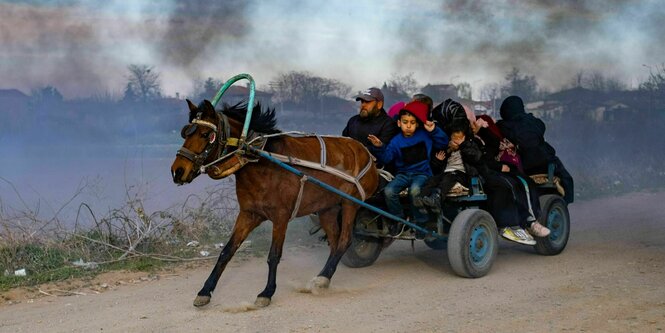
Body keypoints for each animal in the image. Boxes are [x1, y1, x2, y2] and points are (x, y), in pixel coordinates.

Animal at [170, 98, 378, 306]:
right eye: (185, 132)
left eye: (206, 134)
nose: (177, 171)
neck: (261, 162)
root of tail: (366, 153)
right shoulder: (249, 214)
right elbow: (227, 251)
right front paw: (205, 290)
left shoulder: (281, 216)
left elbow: (274, 255)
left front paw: (267, 292)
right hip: (327, 208)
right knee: (334, 242)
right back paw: (323, 277)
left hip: (350, 203)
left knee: (344, 240)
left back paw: (324, 277)